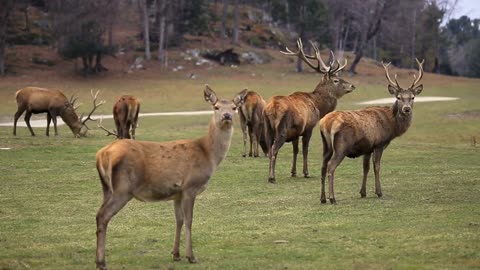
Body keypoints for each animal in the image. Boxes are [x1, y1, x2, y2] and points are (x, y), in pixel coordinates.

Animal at [93, 85, 246, 270]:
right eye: (216, 107)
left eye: (234, 107)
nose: (227, 116)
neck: (208, 154)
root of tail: (101, 154)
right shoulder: (190, 187)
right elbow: (189, 220)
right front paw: (191, 256)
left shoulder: (177, 193)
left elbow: (178, 220)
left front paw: (176, 254)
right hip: (123, 188)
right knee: (103, 215)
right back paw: (101, 262)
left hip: (107, 188)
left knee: (99, 214)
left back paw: (98, 260)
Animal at [262, 39, 356, 184]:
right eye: (336, 80)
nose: (352, 85)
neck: (318, 106)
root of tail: (272, 108)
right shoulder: (309, 127)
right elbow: (305, 150)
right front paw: (306, 173)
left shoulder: (295, 131)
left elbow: (296, 150)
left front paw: (293, 172)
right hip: (282, 128)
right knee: (274, 149)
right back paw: (272, 177)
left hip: (268, 128)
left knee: (269, 149)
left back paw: (269, 175)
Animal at [318, 58, 424, 202]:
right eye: (398, 97)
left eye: (412, 97)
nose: (406, 109)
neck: (392, 126)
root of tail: (325, 123)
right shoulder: (379, 144)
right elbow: (376, 167)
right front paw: (379, 192)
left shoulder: (367, 147)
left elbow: (365, 168)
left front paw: (363, 192)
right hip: (341, 146)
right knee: (330, 166)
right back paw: (332, 198)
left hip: (326, 145)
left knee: (323, 166)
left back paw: (323, 198)